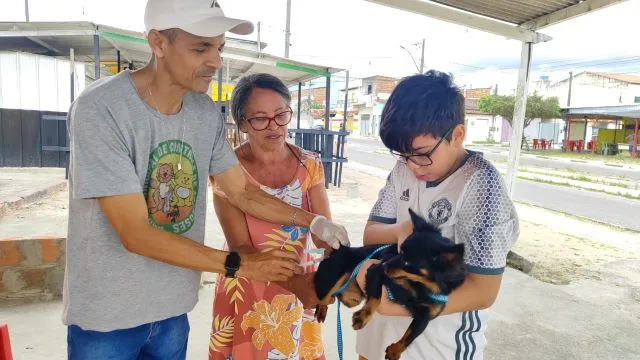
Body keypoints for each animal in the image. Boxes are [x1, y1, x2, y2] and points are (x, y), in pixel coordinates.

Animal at [314, 208, 464, 360]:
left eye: (407, 263)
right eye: (399, 251)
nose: (385, 264)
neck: (418, 285)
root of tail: (339, 249)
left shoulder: (425, 317)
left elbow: (410, 336)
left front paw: (395, 351)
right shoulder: (375, 271)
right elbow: (376, 298)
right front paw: (362, 317)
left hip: (353, 299)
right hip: (337, 276)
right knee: (325, 295)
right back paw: (322, 309)